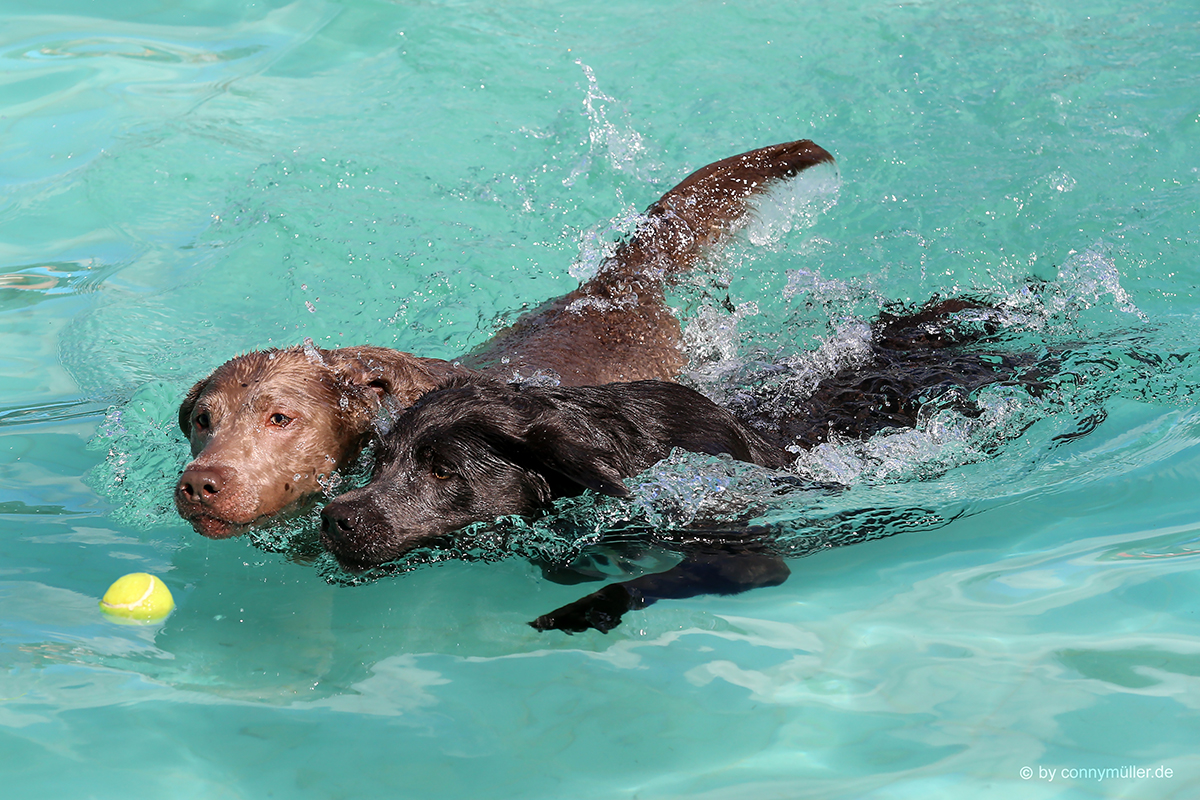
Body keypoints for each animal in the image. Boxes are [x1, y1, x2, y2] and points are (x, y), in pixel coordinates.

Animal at [319, 297, 1041, 633]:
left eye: (443, 470)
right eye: (380, 458)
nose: (334, 519)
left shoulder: (746, 559)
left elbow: (649, 581)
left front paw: (582, 610)